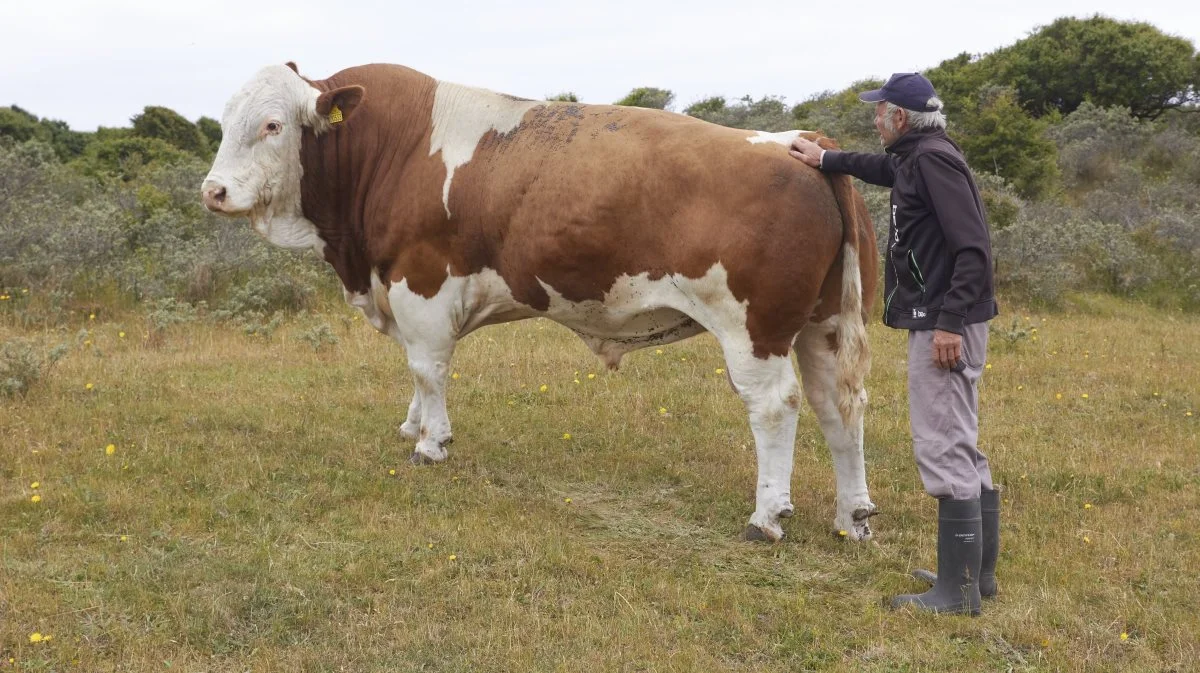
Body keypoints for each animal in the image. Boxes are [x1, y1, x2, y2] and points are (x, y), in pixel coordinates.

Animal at [201, 62, 883, 539]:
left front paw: (430, 443)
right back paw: (853, 517)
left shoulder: (420, 284)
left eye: (272, 125)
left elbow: (428, 368)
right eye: (224, 122)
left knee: (775, 406)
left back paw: (766, 517)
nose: (214, 191)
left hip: (755, 329)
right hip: (820, 322)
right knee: (838, 404)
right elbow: (417, 375)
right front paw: (413, 426)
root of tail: (800, 145)